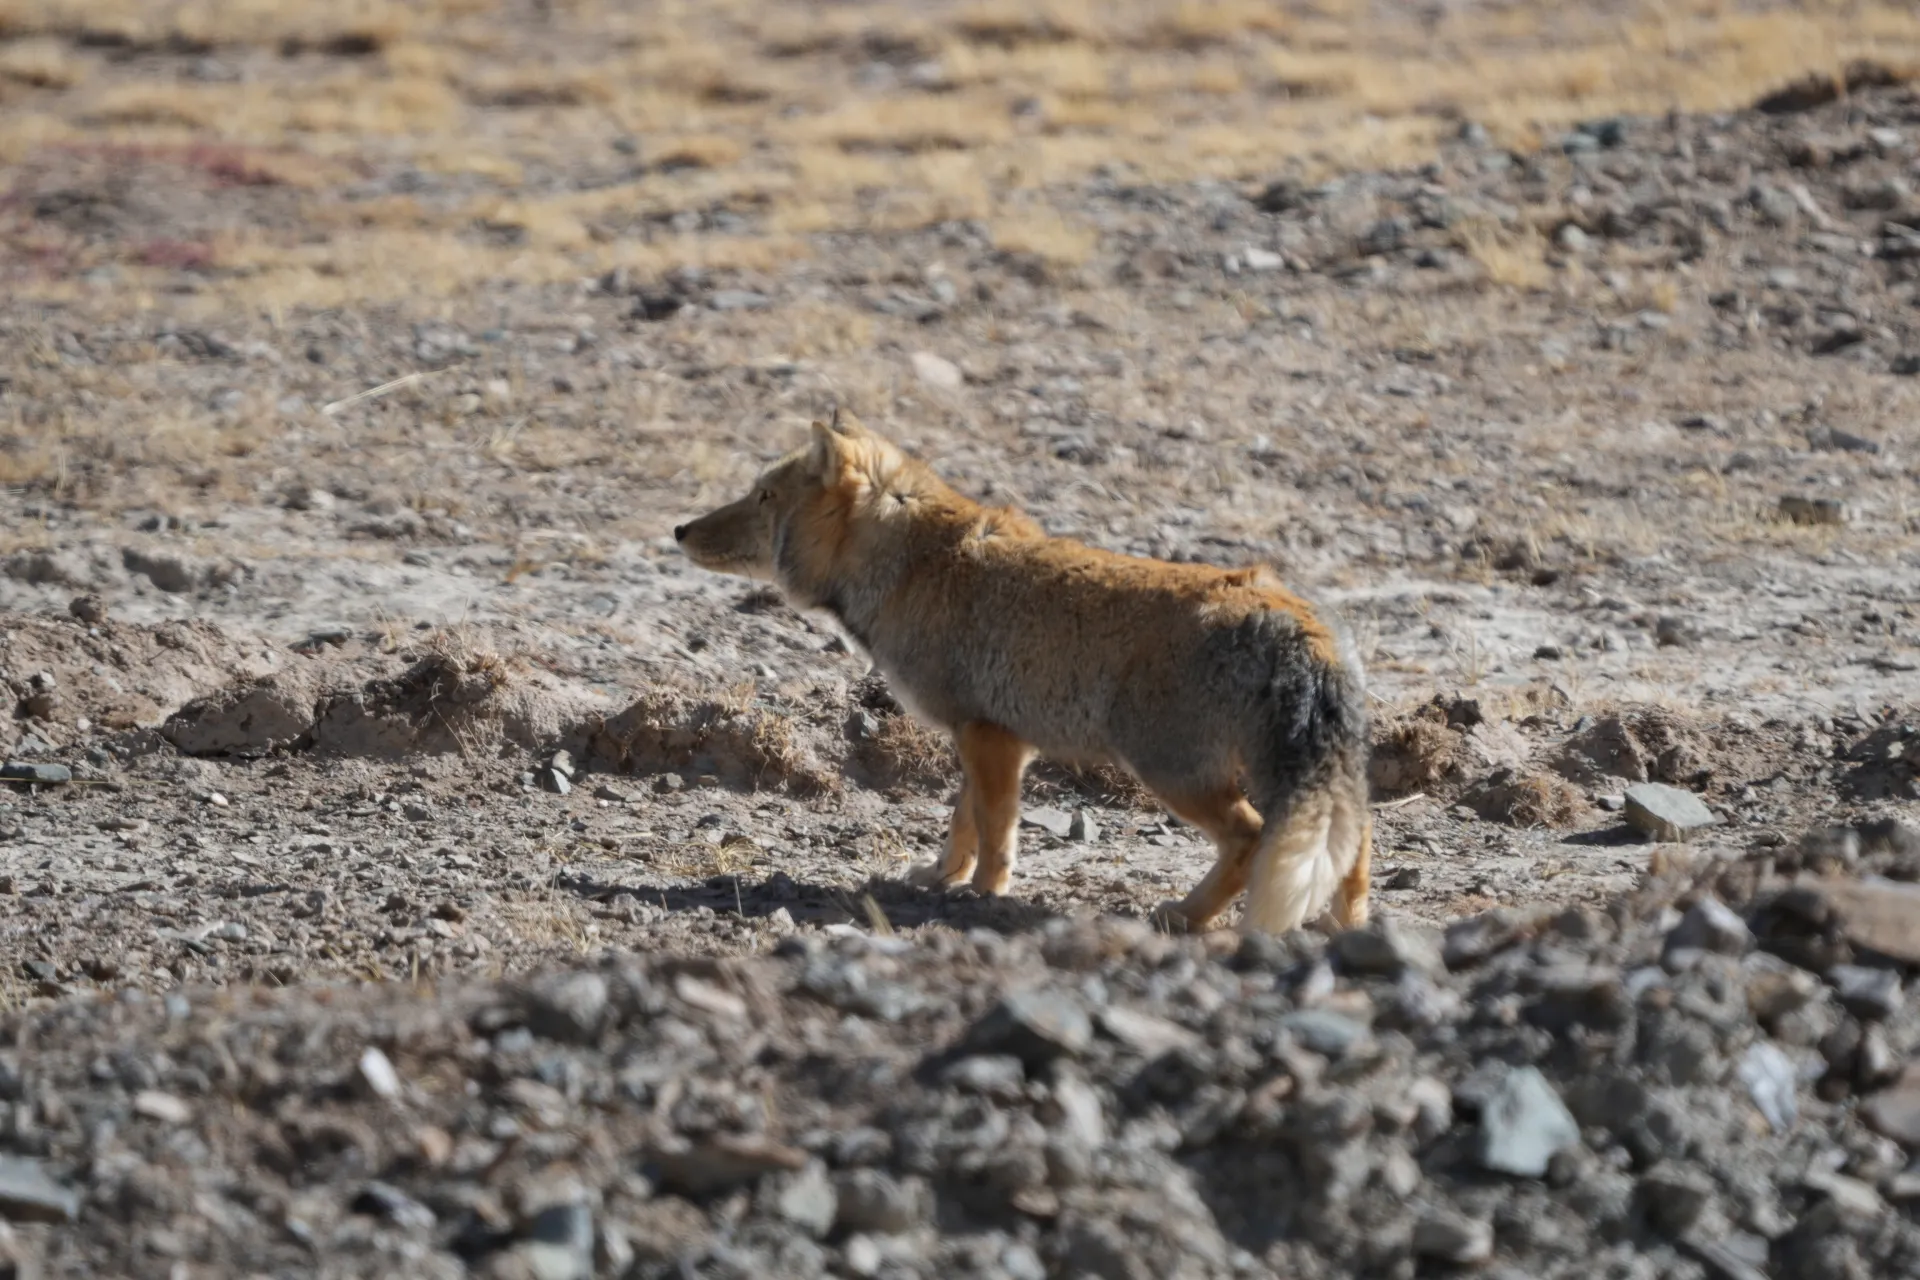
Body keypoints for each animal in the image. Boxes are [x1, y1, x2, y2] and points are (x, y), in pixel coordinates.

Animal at [673, 410, 1371, 935]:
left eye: (763, 497)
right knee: (1353, 843)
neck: (912, 566)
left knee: (1250, 840)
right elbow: (962, 820)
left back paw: (1185, 915)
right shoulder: (984, 736)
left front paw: (984, 892)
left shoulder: (991, 737)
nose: (679, 528)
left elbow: (993, 827)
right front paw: (941, 877)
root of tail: (1296, 617)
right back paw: (1347, 926)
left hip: (1174, 773)